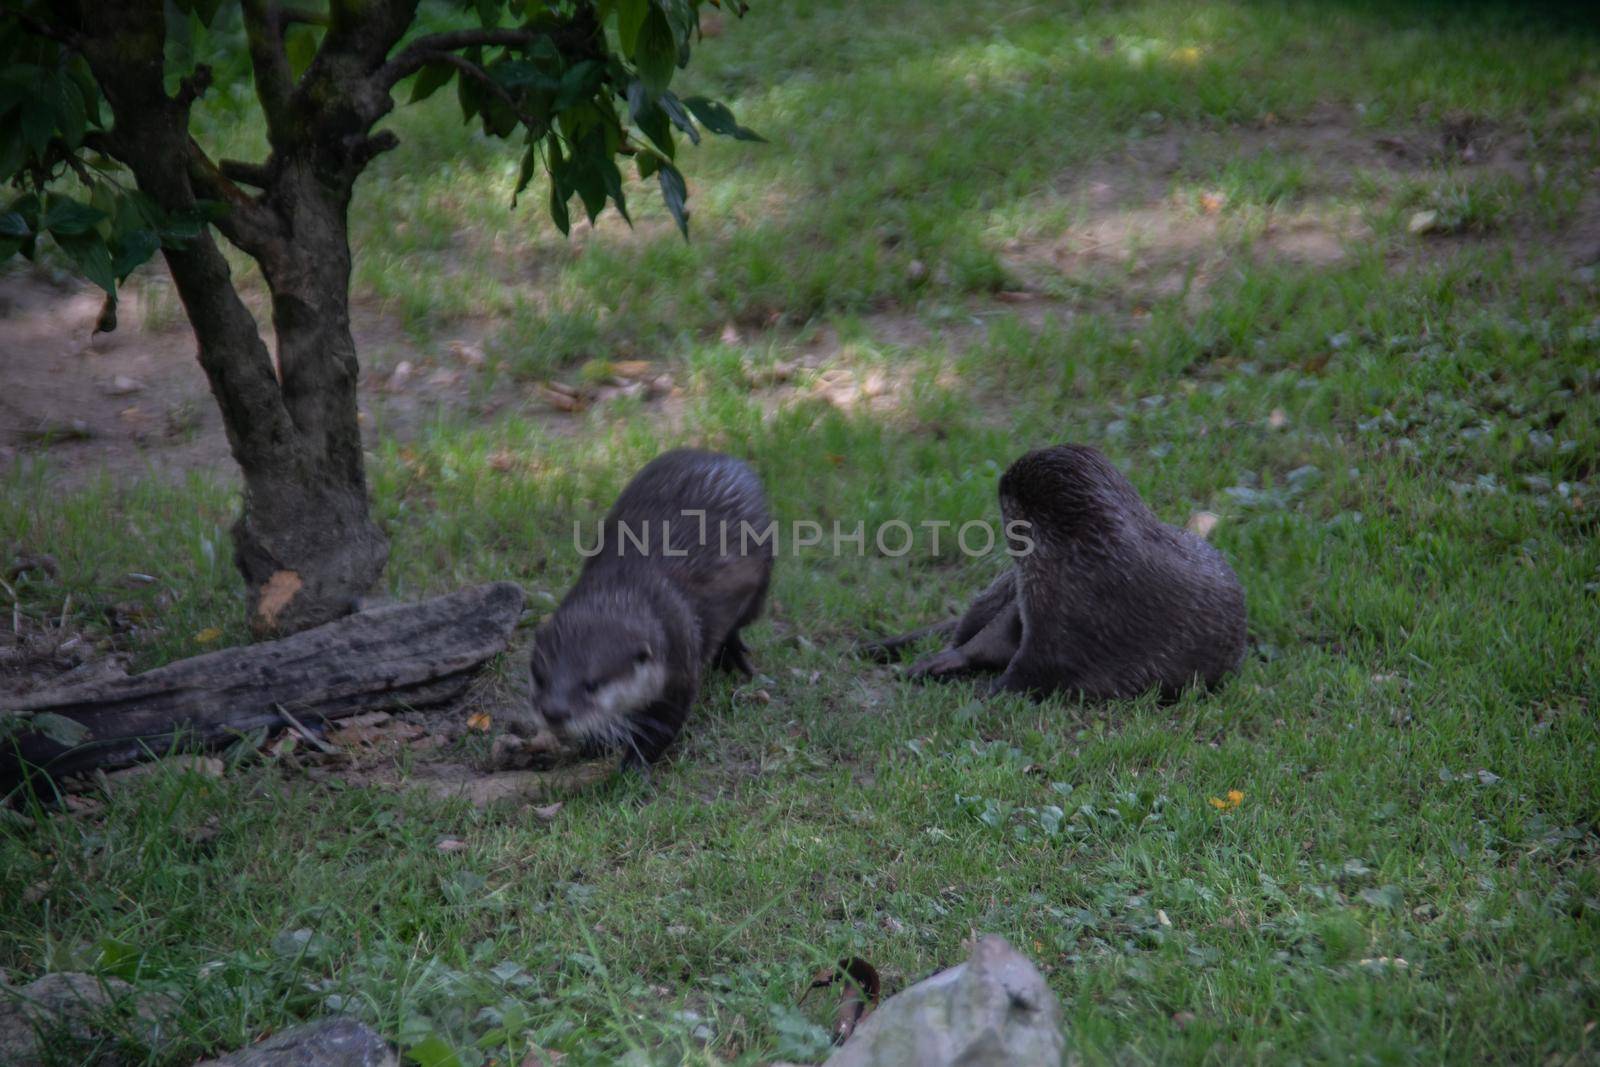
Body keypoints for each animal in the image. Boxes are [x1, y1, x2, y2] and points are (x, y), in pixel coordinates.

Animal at [528, 451, 771, 767]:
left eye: (592, 684)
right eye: (540, 677)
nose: (554, 712)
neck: (625, 588)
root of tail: (717, 454)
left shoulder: (680, 664)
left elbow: (664, 724)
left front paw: (633, 764)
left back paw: (733, 656)